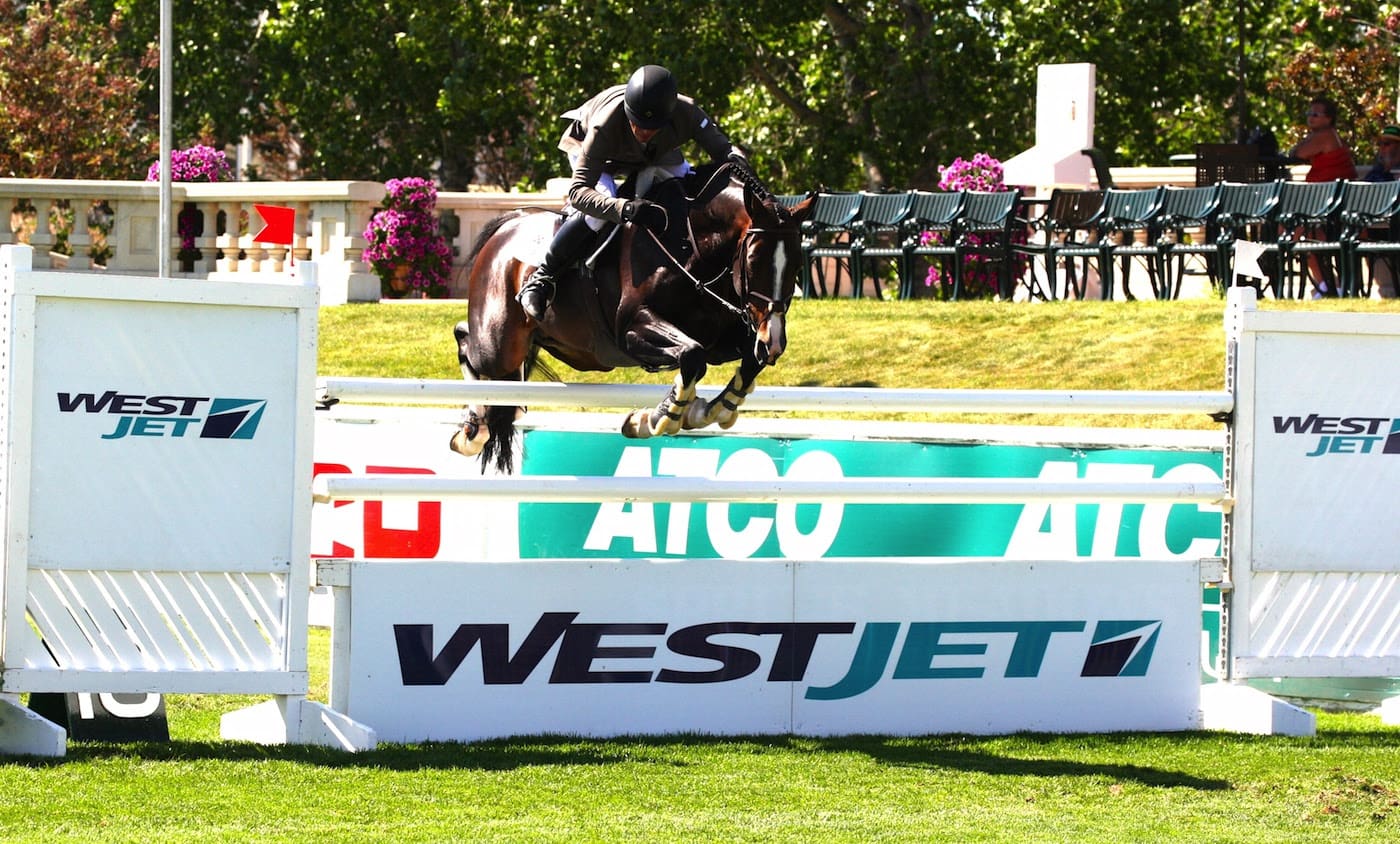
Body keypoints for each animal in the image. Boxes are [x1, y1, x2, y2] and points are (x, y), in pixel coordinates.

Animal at [451, 164, 815, 473]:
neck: (692, 248)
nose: (774, 342)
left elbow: (746, 361)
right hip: (499, 344)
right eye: (754, 261)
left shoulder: (724, 337)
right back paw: (473, 430)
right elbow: (691, 355)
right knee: (467, 340)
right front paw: (657, 419)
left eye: (797, 264)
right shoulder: (632, 330)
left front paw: (708, 410)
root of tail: (507, 225)